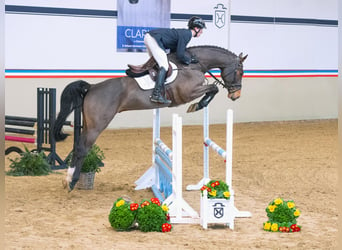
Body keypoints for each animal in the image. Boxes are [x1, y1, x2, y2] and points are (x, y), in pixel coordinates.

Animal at [52, 45, 246, 190]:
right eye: (240, 72)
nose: (236, 95)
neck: (192, 65)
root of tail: (91, 87)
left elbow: (212, 88)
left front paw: (199, 105)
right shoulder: (189, 93)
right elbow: (213, 88)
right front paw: (198, 105)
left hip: (88, 124)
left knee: (78, 146)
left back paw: (67, 179)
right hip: (97, 125)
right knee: (83, 148)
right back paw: (72, 181)